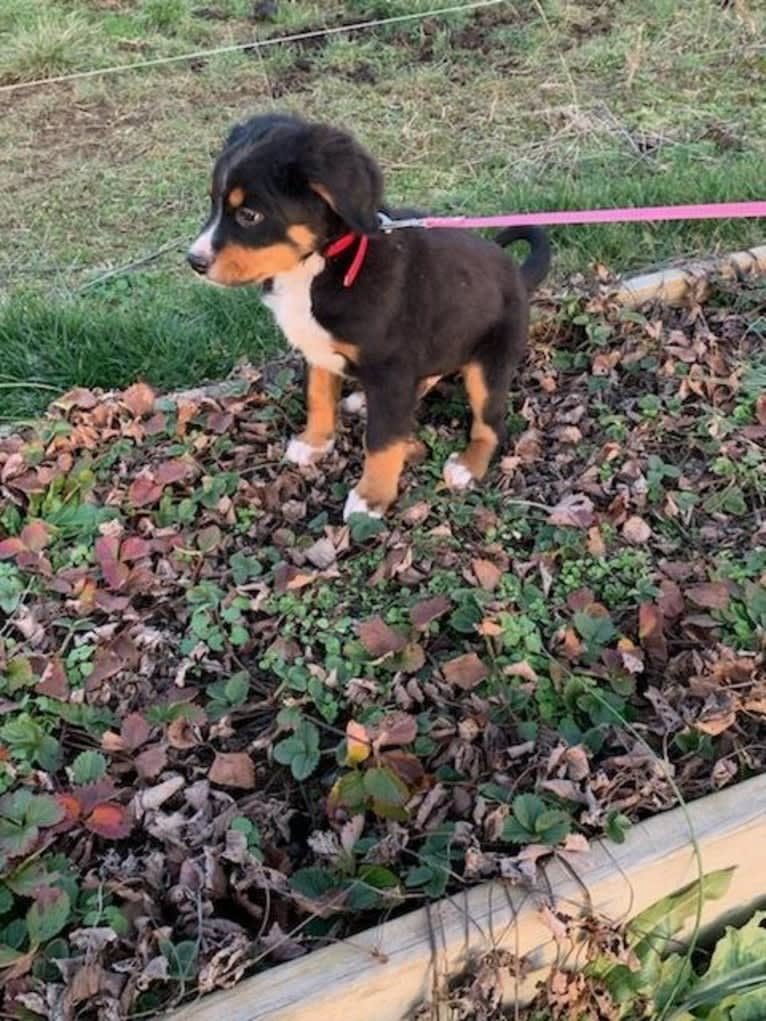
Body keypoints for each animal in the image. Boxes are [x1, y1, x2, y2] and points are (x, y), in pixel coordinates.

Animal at [190, 113, 551, 518]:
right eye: (213, 204)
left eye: (249, 215)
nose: (194, 261)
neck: (320, 266)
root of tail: (519, 276)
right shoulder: (319, 352)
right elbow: (318, 398)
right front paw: (314, 443)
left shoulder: (390, 367)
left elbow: (381, 441)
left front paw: (370, 498)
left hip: (488, 364)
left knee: (491, 426)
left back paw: (466, 467)